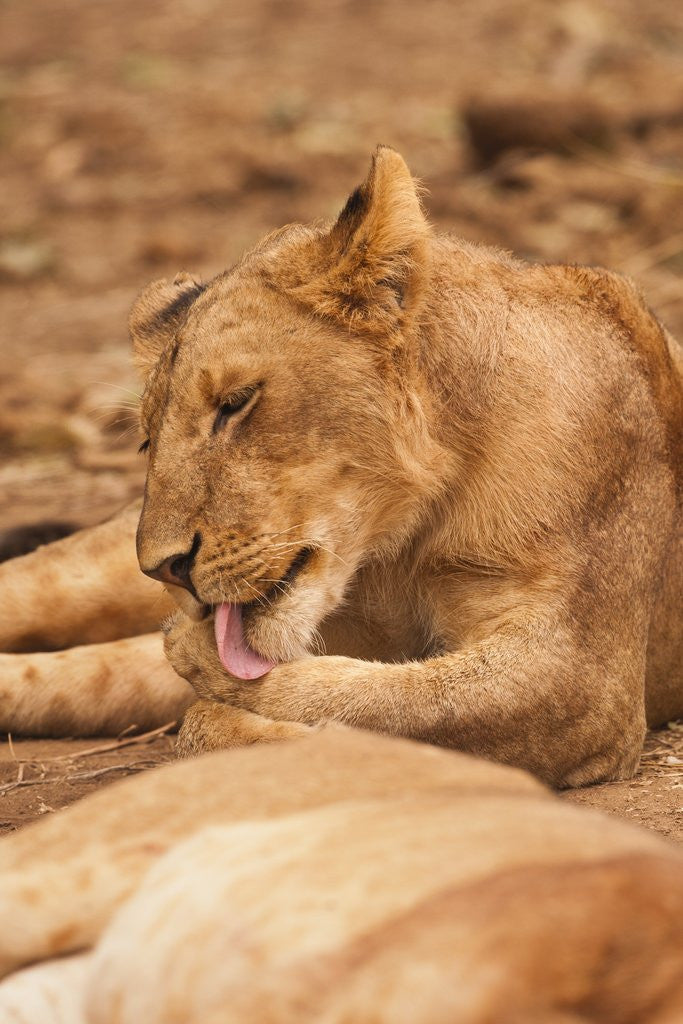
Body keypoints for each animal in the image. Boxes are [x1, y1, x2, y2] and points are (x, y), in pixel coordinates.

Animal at [0, 145, 681, 787]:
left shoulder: (580, 676)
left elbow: (398, 704)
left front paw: (212, 678)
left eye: (235, 404)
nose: (166, 569)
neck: (402, 542)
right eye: (147, 442)